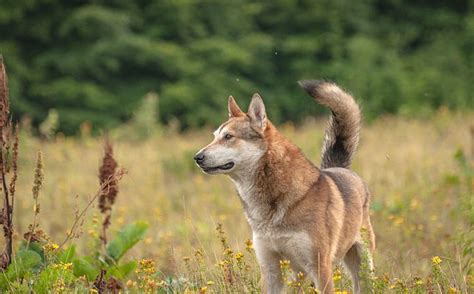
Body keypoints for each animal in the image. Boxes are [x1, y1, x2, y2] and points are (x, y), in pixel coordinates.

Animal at [193, 80, 374, 294]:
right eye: (214, 136)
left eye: (228, 137)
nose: (197, 157)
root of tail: (340, 168)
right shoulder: (270, 268)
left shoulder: (321, 268)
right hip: (298, 275)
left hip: (362, 267)